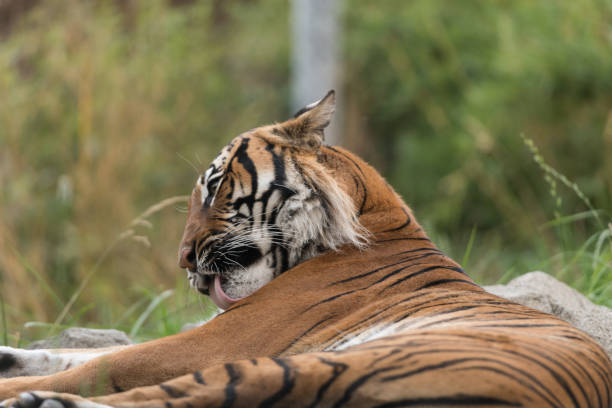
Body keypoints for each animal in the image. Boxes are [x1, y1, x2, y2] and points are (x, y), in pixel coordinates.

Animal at [0, 92, 608, 408]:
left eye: (215, 188)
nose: (182, 260)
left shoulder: (220, 340)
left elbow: (103, 363)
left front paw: (23, 382)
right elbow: (79, 355)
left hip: (307, 361)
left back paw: (41, 402)